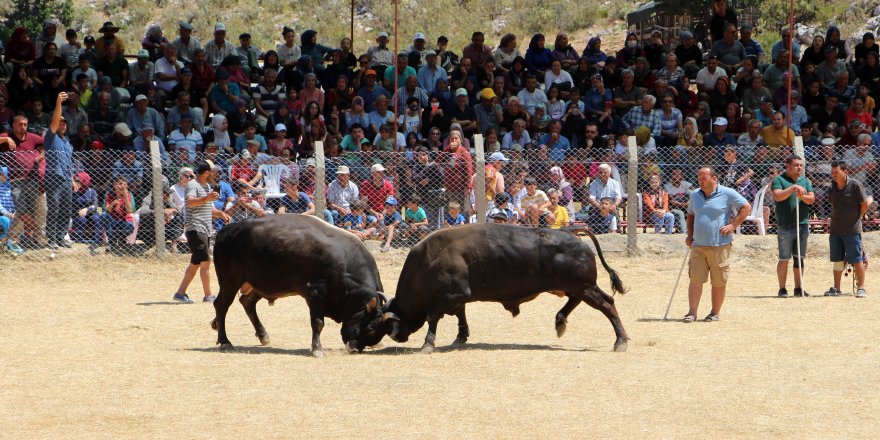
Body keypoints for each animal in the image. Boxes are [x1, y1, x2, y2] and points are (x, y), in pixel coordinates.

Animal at [210, 215, 384, 356]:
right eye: (371, 328)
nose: (354, 349)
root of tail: (226, 230)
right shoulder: (315, 293)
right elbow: (318, 323)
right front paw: (317, 349)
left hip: (257, 284)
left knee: (247, 302)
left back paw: (262, 335)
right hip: (230, 281)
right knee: (221, 305)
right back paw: (225, 341)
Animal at [372, 225, 632, 352]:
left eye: (378, 325)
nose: (397, 337)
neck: (429, 259)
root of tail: (569, 232)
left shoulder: (452, 295)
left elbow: (433, 316)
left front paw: (428, 344)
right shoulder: (457, 297)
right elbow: (460, 315)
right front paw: (460, 337)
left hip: (585, 287)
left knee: (607, 304)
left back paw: (620, 341)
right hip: (576, 287)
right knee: (575, 302)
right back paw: (560, 322)